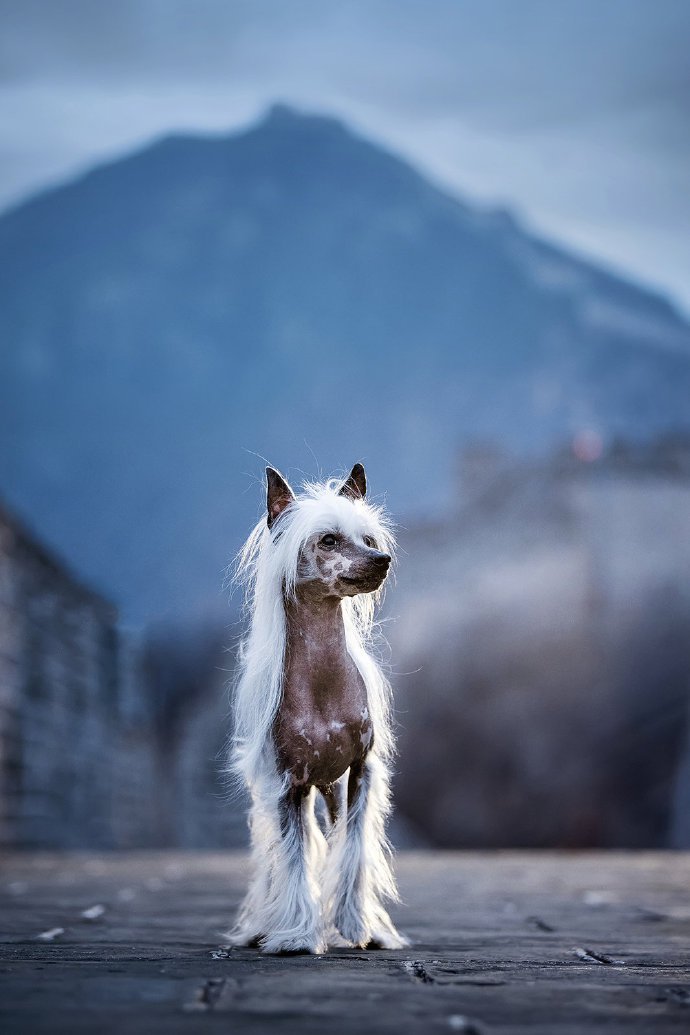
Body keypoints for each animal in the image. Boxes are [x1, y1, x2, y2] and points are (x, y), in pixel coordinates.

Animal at [229, 463, 407, 952]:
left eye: (368, 539)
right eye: (328, 540)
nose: (381, 560)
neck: (325, 684)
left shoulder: (360, 773)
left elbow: (353, 852)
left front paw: (356, 925)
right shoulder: (287, 784)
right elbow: (294, 859)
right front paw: (298, 935)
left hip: (331, 788)